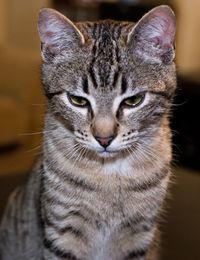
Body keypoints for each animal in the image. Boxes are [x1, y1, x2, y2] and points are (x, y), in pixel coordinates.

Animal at [0, 4, 177, 260]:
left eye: (133, 100)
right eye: (78, 101)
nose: (104, 138)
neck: (110, 175)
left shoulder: (140, 233)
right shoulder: (63, 230)